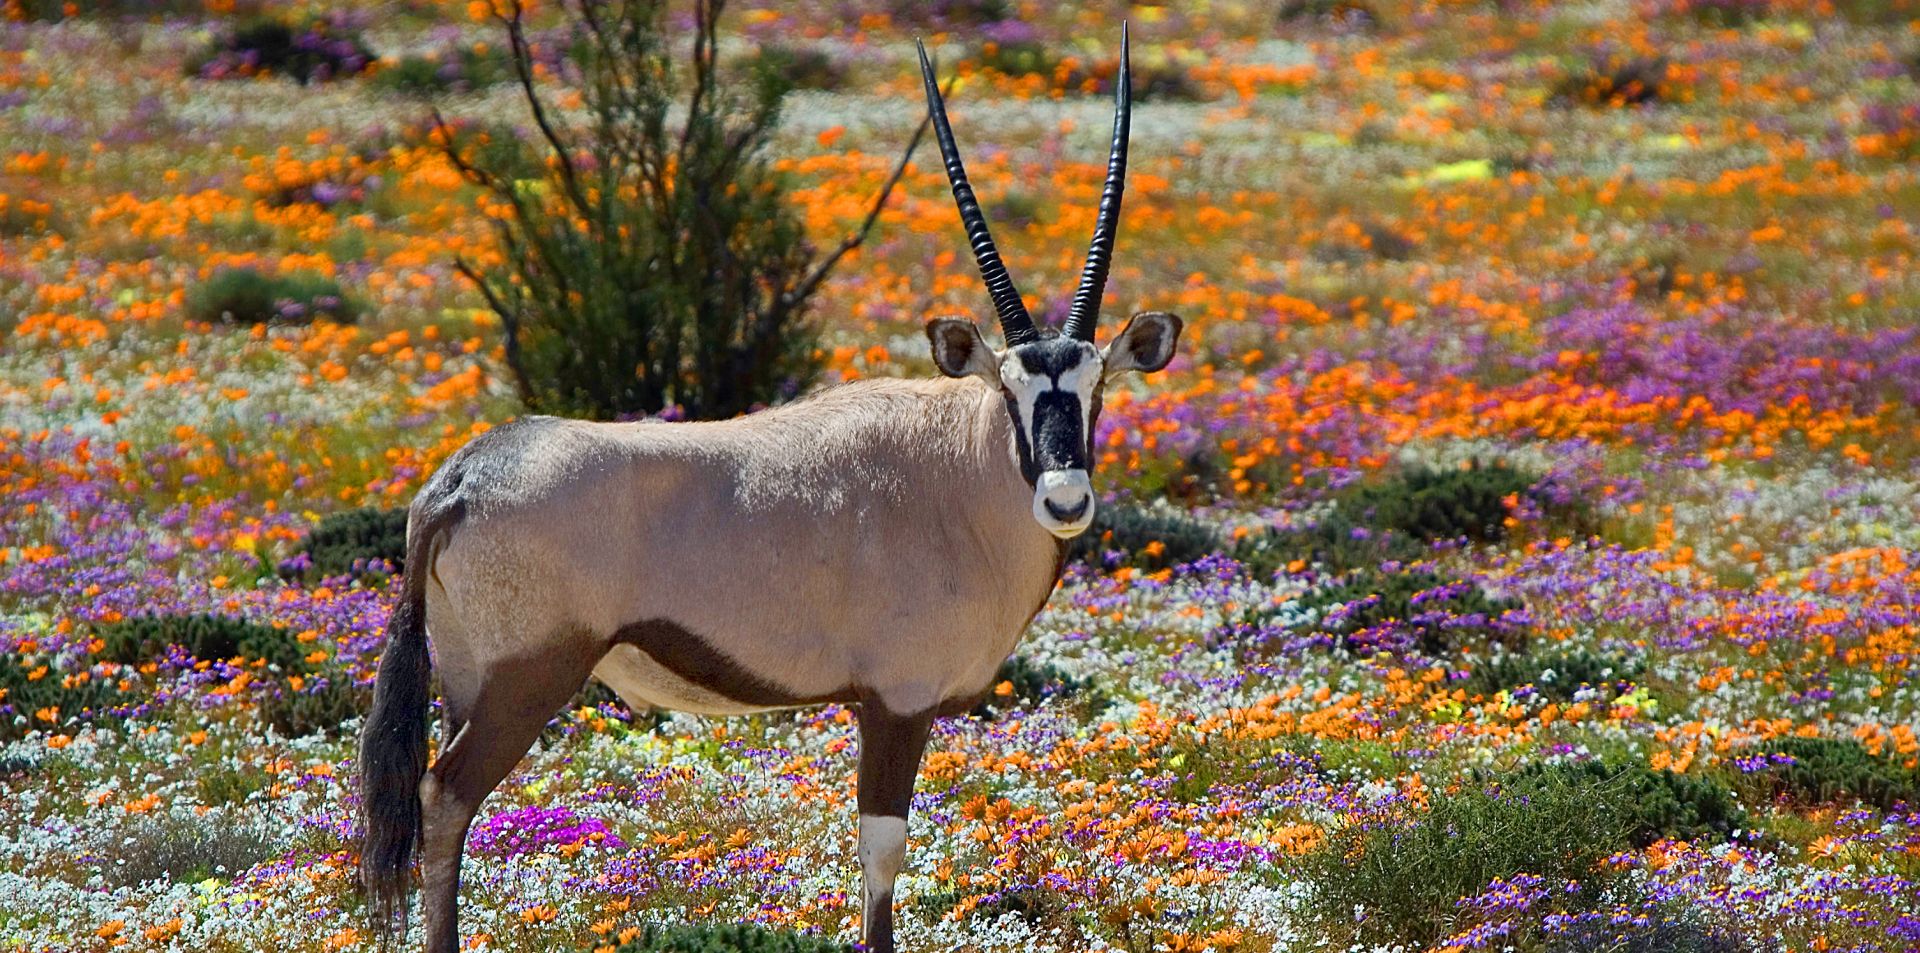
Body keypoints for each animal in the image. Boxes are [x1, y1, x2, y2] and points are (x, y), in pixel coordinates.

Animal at [353, 26, 1175, 949]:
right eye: (1010, 388)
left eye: (1097, 387)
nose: (1065, 497)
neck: (960, 473)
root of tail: (461, 476)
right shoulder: (896, 701)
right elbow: (882, 850)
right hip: (525, 679)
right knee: (444, 795)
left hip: (466, 681)